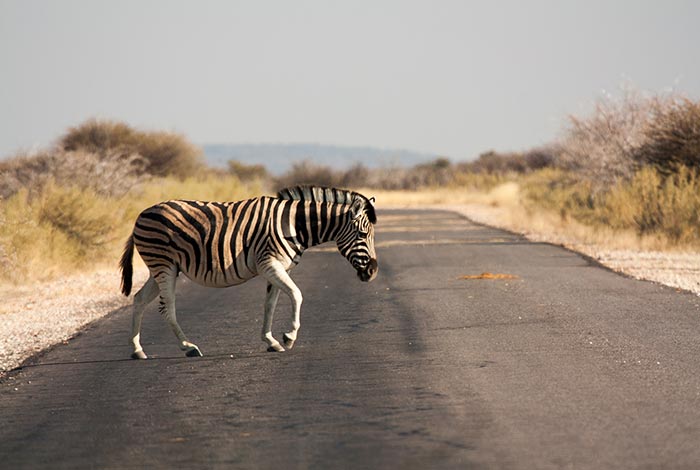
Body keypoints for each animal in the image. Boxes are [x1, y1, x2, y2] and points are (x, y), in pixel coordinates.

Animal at [119, 185, 378, 360]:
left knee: (139, 299)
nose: (373, 272)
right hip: (164, 265)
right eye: (363, 235)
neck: (296, 225)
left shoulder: (277, 267)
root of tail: (142, 214)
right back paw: (188, 347)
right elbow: (297, 294)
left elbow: (270, 305)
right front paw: (289, 337)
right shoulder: (269, 263)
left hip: (162, 268)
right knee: (166, 308)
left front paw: (271, 341)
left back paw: (137, 350)